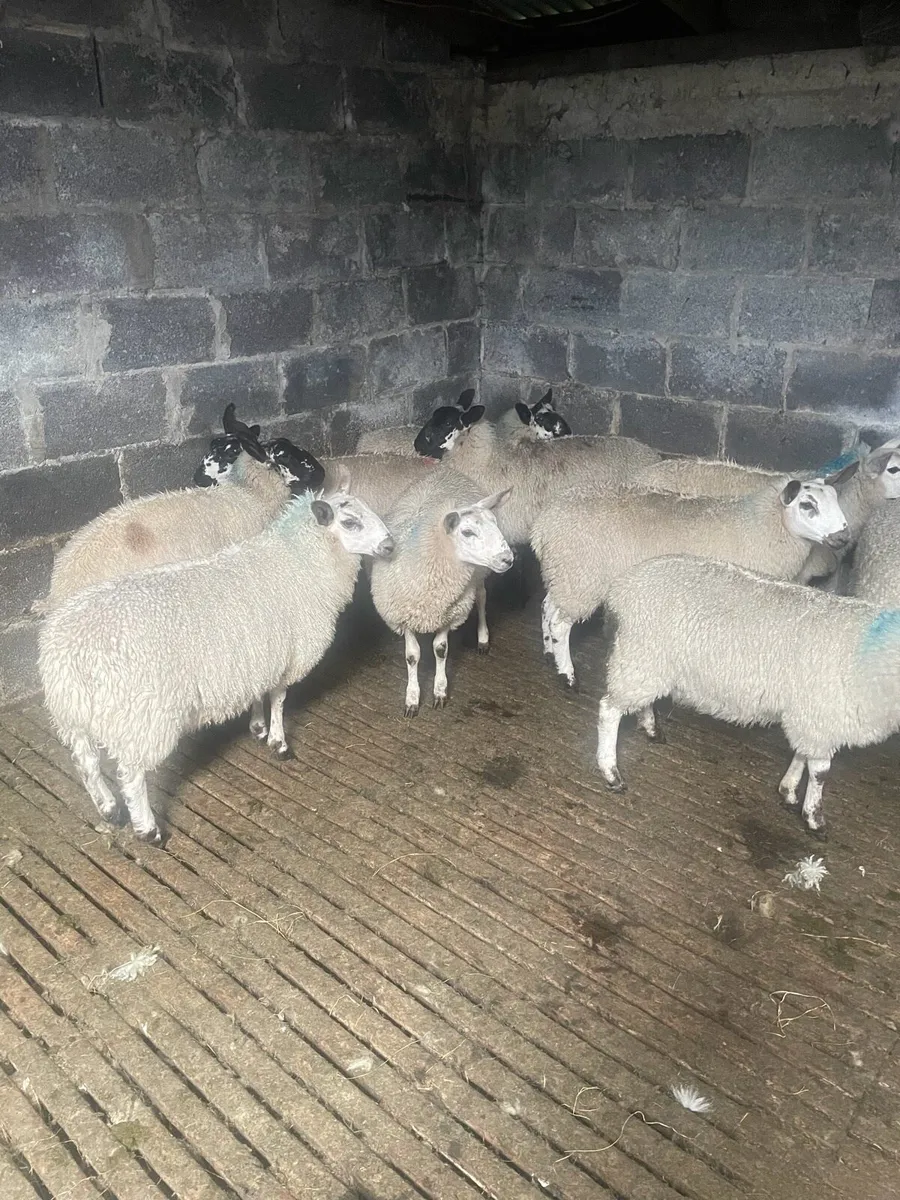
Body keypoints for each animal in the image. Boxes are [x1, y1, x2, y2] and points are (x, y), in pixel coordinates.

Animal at [38, 479, 394, 845]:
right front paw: (279, 743)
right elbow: (279, 698)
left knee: (86, 761)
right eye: (350, 523)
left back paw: (108, 808)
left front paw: (257, 726)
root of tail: (70, 653)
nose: (390, 545)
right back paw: (148, 829)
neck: (299, 559)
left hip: (72, 713)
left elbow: (260, 693)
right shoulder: (287, 656)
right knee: (131, 774)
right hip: (143, 717)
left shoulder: (256, 656)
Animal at [369, 467, 513, 714]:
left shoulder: (451, 612)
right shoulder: (405, 614)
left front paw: (440, 691)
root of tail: (446, 470)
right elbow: (412, 656)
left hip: (479, 574)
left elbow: (441, 649)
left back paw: (483, 637)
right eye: (467, 532)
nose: (508, 559)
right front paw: (412, 698)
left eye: (495, 523)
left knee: (481, 597)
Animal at [531, 462, 857, 689]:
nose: (843, 537)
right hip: (580, 576)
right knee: (561, 623)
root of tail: (545, 523)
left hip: (562, 573)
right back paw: (567, 674)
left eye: (836, 500)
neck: (759, 526)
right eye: (807, 505)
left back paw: (549, 651)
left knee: (547, 607)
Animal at [595, 553, 900, 837]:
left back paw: (650, 728)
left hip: (647, 664)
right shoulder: (820, 716)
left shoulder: (808, 717)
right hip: (640, 655)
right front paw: (814, 819)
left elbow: (802, 754)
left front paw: (789, 790)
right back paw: (611, 772)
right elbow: (821, 772)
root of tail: (622, 587)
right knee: (608, 711)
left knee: (639, 701)